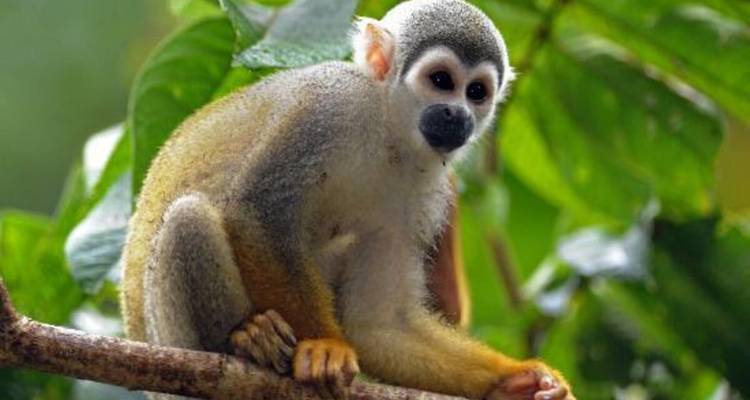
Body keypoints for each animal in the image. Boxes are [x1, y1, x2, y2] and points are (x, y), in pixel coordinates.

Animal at [120, 0, 575, 399]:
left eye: (477, 91)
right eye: (442, 81)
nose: (458, 115)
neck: (388, 133)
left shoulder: (426, 194)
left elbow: (379, 325)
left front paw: (517, 380)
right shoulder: (327, 108)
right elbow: (255, 213)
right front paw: (325, 344)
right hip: (169, 337)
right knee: (188, 218)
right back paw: (244, 340)